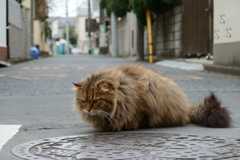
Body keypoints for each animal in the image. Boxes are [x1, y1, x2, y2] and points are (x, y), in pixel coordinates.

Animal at [72, 63, 231, 131]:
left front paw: (130, 125)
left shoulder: (143, 105)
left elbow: (136, 117)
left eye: (95, 101)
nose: (87, 110)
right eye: (83, 101)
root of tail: (186, 109)